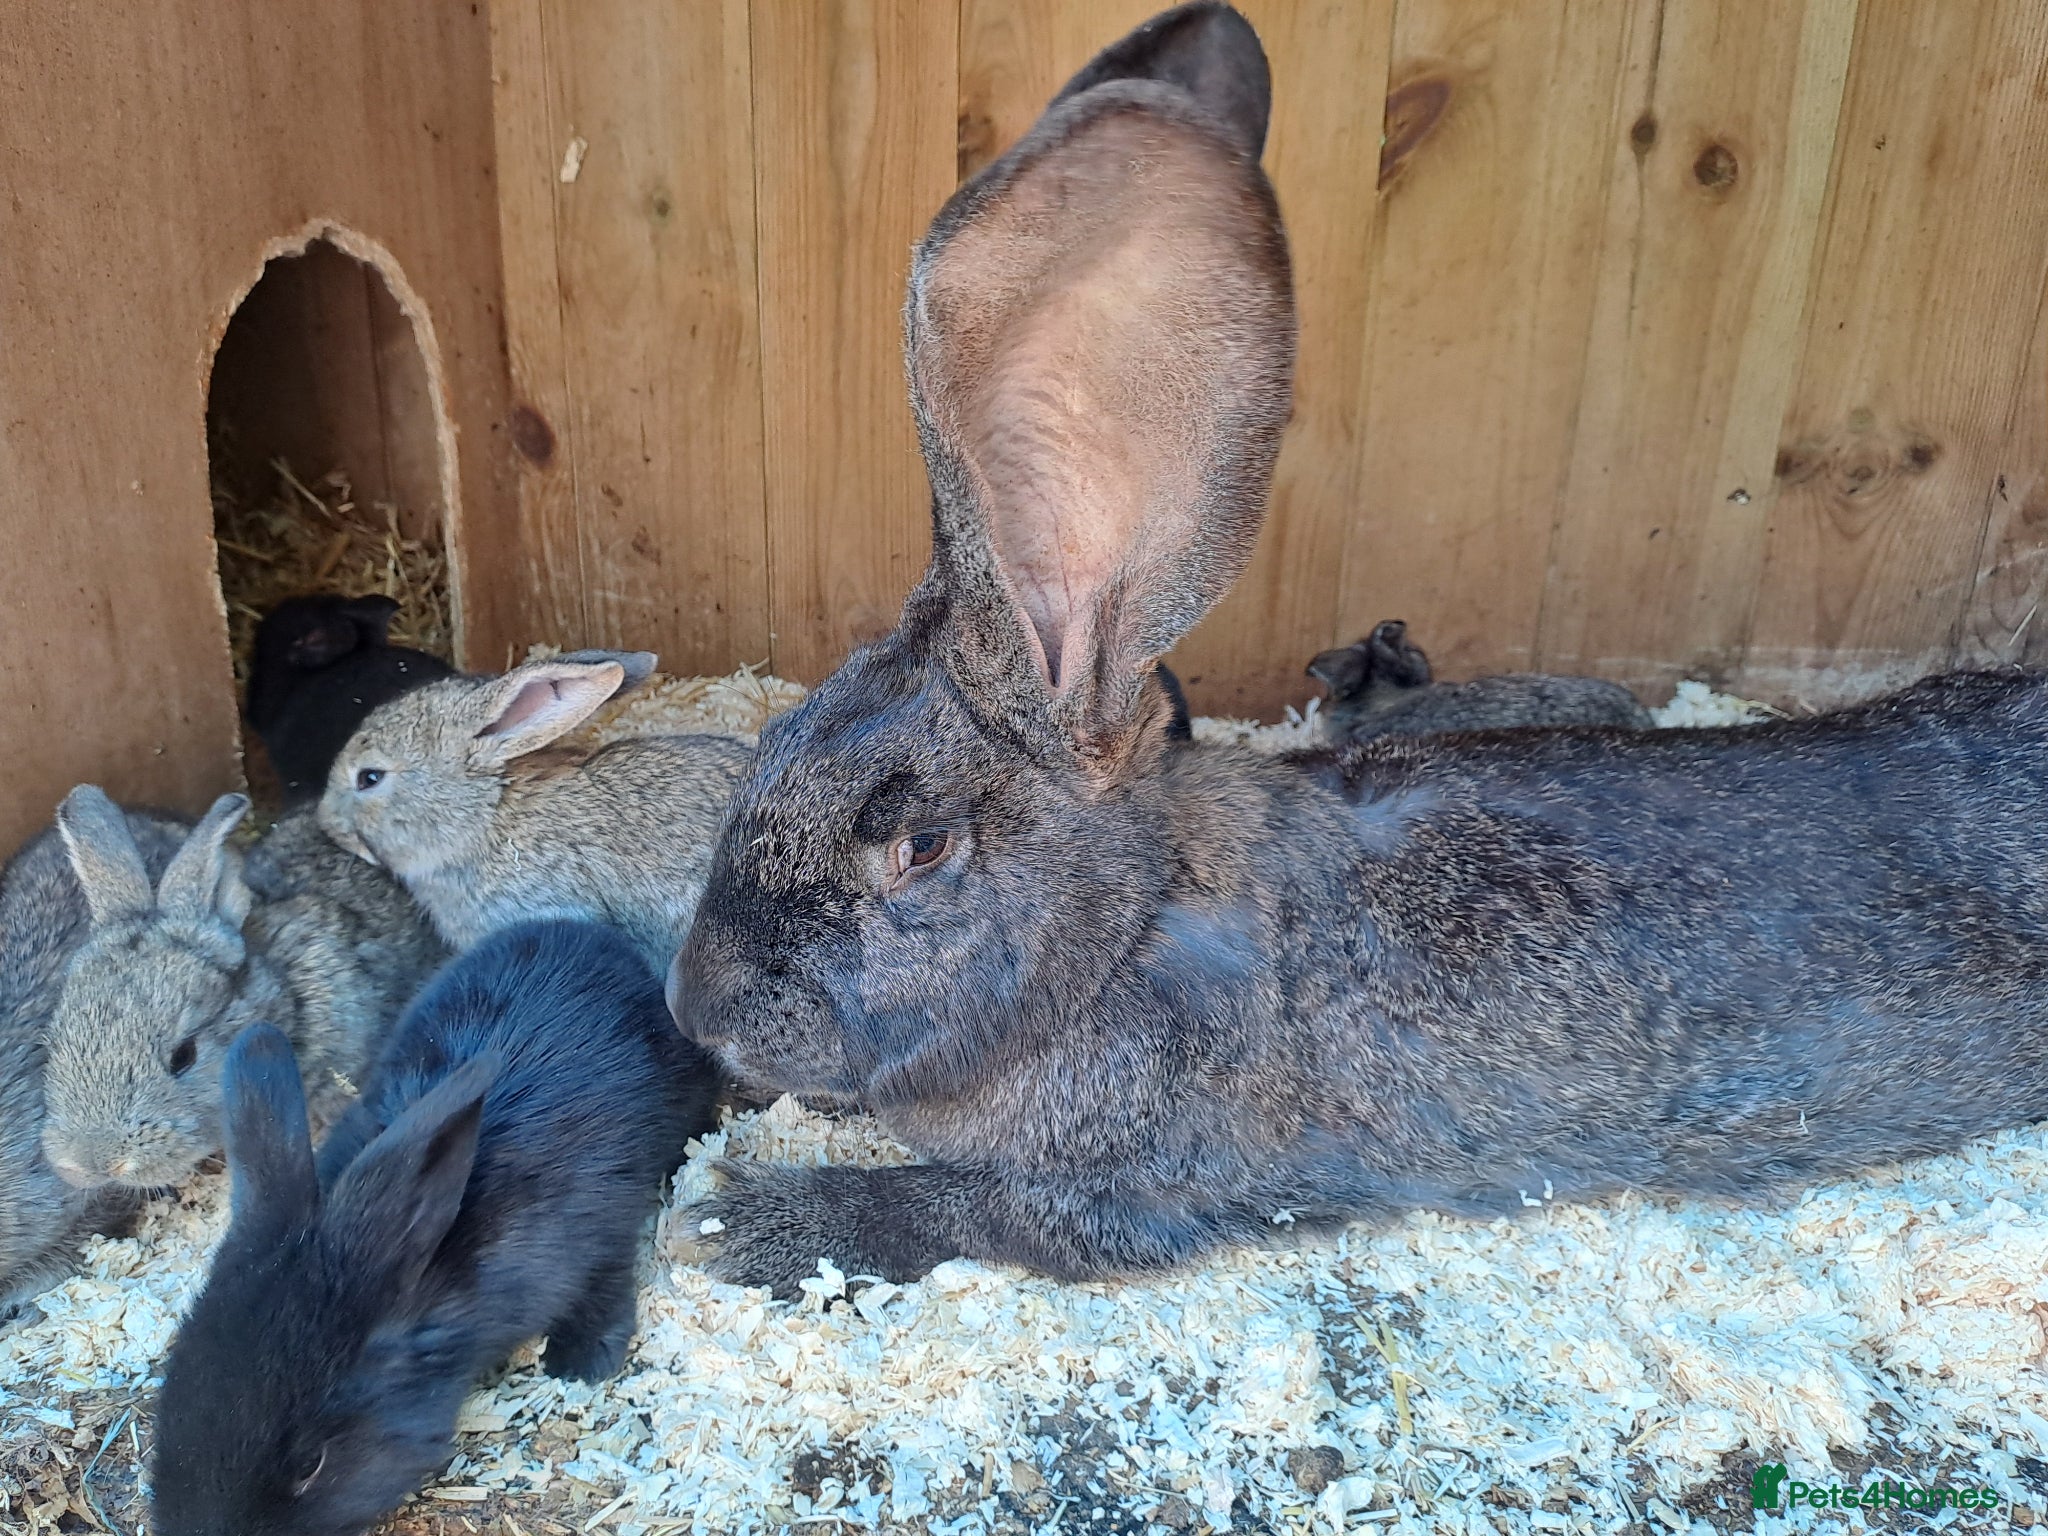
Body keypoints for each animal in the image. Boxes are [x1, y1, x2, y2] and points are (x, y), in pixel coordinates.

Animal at [150, 919, 716, 1536]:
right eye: (170, 1396)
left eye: (310, 1464)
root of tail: (582, 931)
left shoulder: (599, 1233)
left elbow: (606, 1287)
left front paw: (583, 1364)